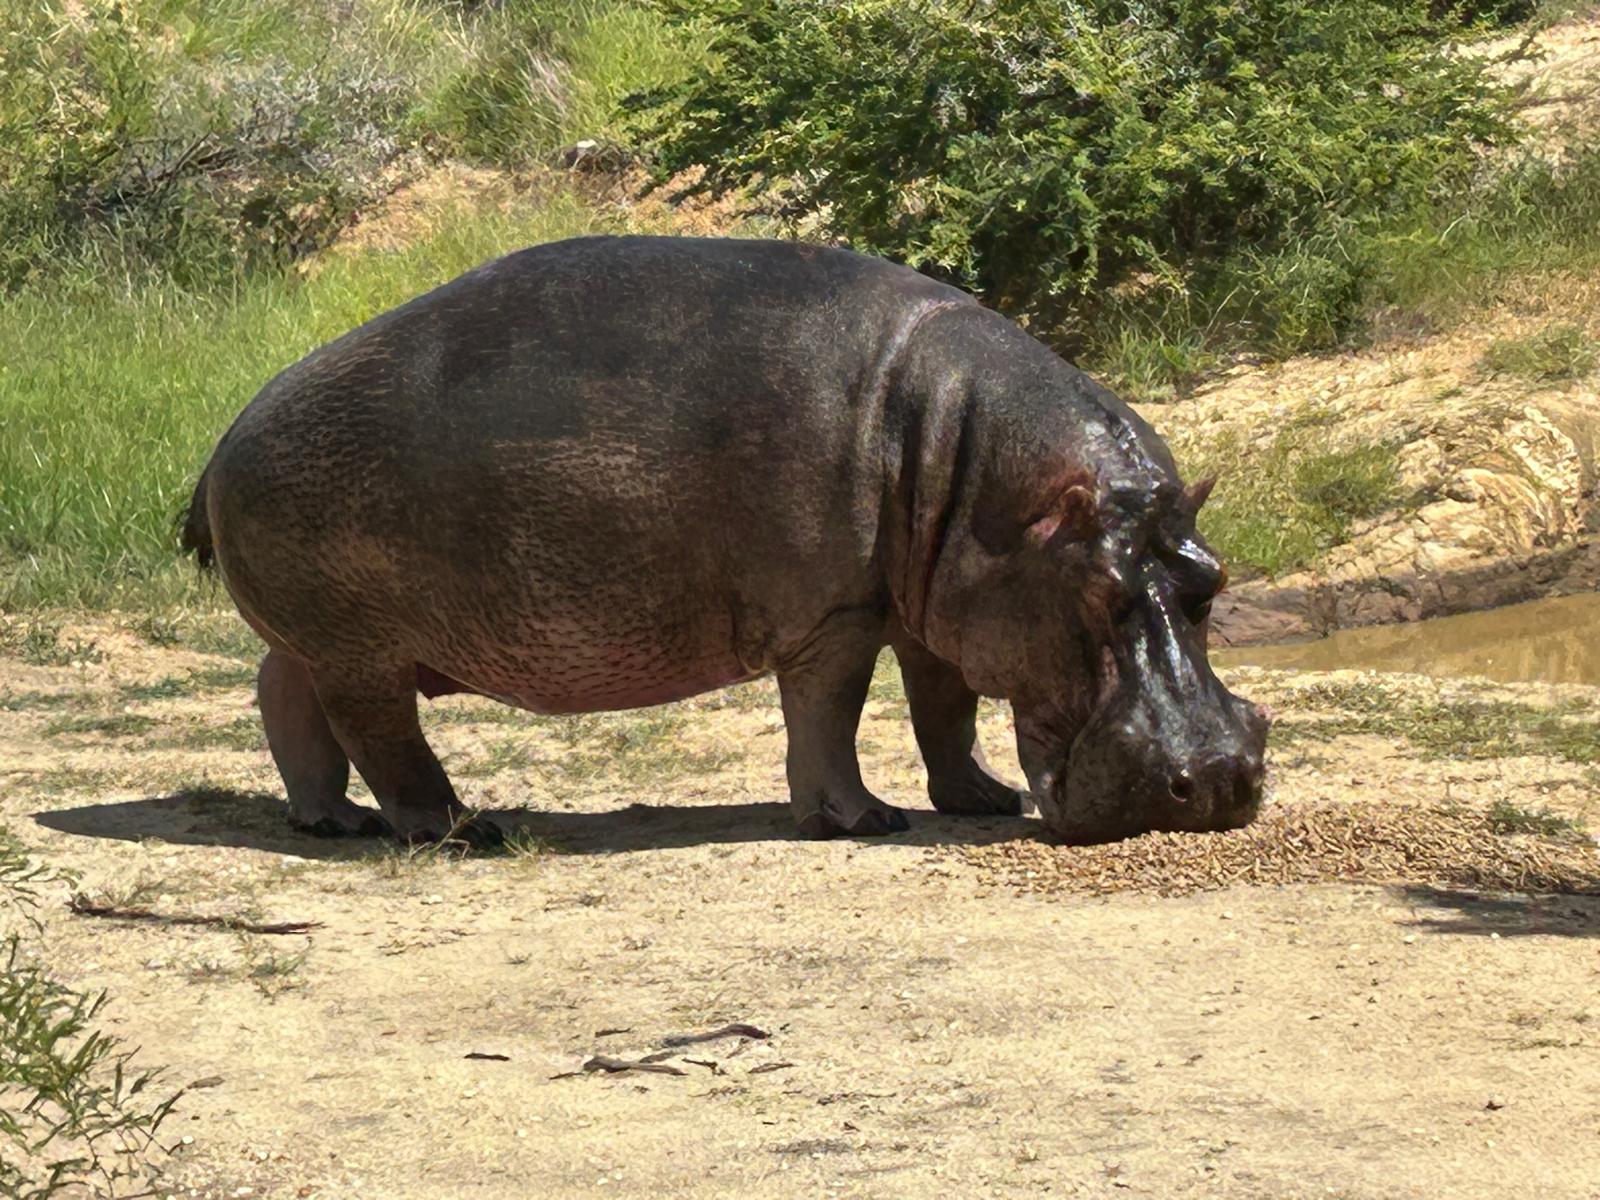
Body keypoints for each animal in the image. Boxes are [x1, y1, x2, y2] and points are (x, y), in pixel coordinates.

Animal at [181, 235, 1267, 844]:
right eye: (1095, 595)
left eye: (1211, 582)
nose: (1218, 776)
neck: (981, 469)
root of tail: (222, 436)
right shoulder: (837, 614)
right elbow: (829, 717)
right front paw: (864, 822)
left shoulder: (936, 604)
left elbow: (945, 707)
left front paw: (980, 799)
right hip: (365, 648)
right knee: (381, 734)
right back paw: (456, 828)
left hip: (330, 636)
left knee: (283, 693)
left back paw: (330, 821)